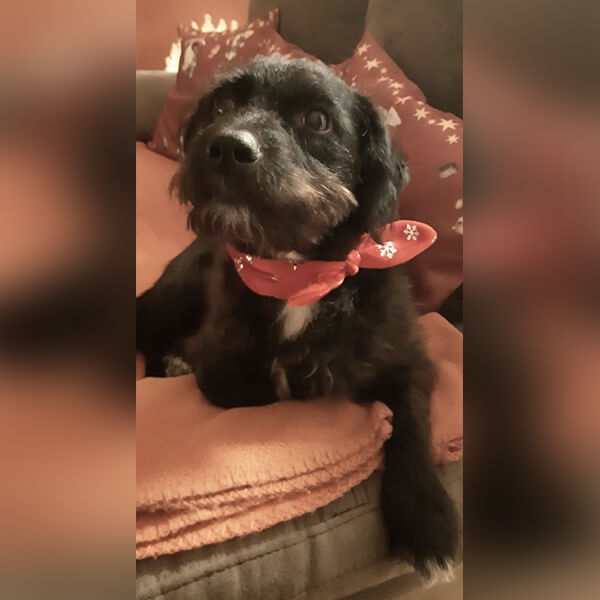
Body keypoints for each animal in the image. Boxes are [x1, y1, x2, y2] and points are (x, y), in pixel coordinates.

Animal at [137, 55, 458, 579]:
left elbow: (410, 427)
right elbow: (256, 386)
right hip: (176, 291)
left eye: (317, 121)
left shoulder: (409, 362)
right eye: (222, 106)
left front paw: (426, 520)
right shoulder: (222, 365)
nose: (226, 147)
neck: (296, 273)